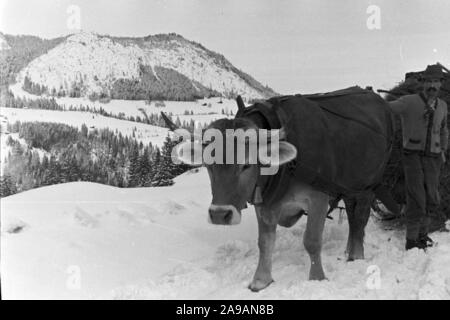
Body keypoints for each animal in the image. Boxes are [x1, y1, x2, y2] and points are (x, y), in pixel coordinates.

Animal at [163, 86, 396, 292]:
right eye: (208, 165)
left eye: (247, 164)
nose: (220, 215)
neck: (285, 167)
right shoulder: (264, 203)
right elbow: (265, 242)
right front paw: (261, 280)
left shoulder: (318, 198)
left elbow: (312, 241)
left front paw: (317, 278)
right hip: (350, 186)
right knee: (351, 215)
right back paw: (348, 251)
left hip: (368, 186)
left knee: (359, 220)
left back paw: (356, 255)